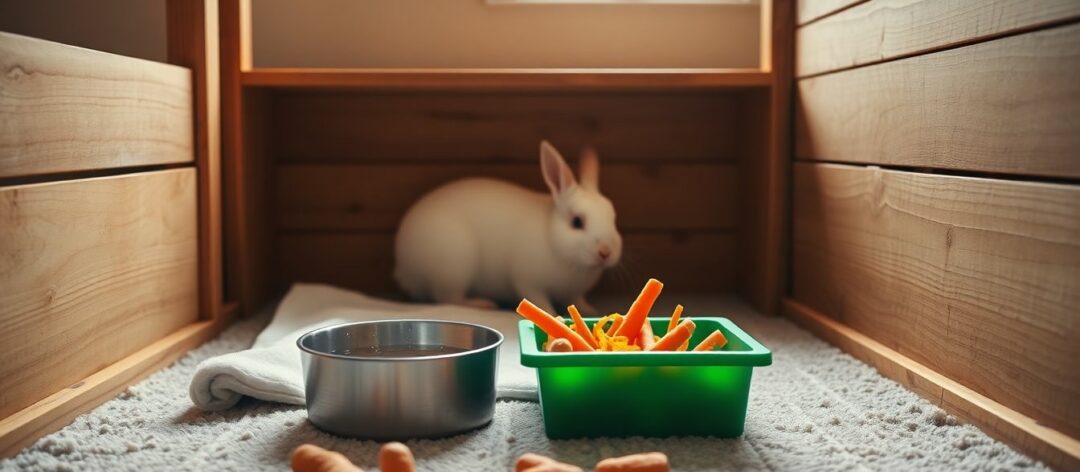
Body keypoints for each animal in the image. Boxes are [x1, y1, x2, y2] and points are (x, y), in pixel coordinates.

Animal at [393, 141, 622, 315]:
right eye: (576, 222)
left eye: (613, 217)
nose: (605, 252)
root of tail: (403, 265)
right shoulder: (528, 282)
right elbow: (540, 301)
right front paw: (552, 314)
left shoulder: (574, 293)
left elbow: (578, 300)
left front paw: (590, 310)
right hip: (452, 268)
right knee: (448, 298)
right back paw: (481, 304)